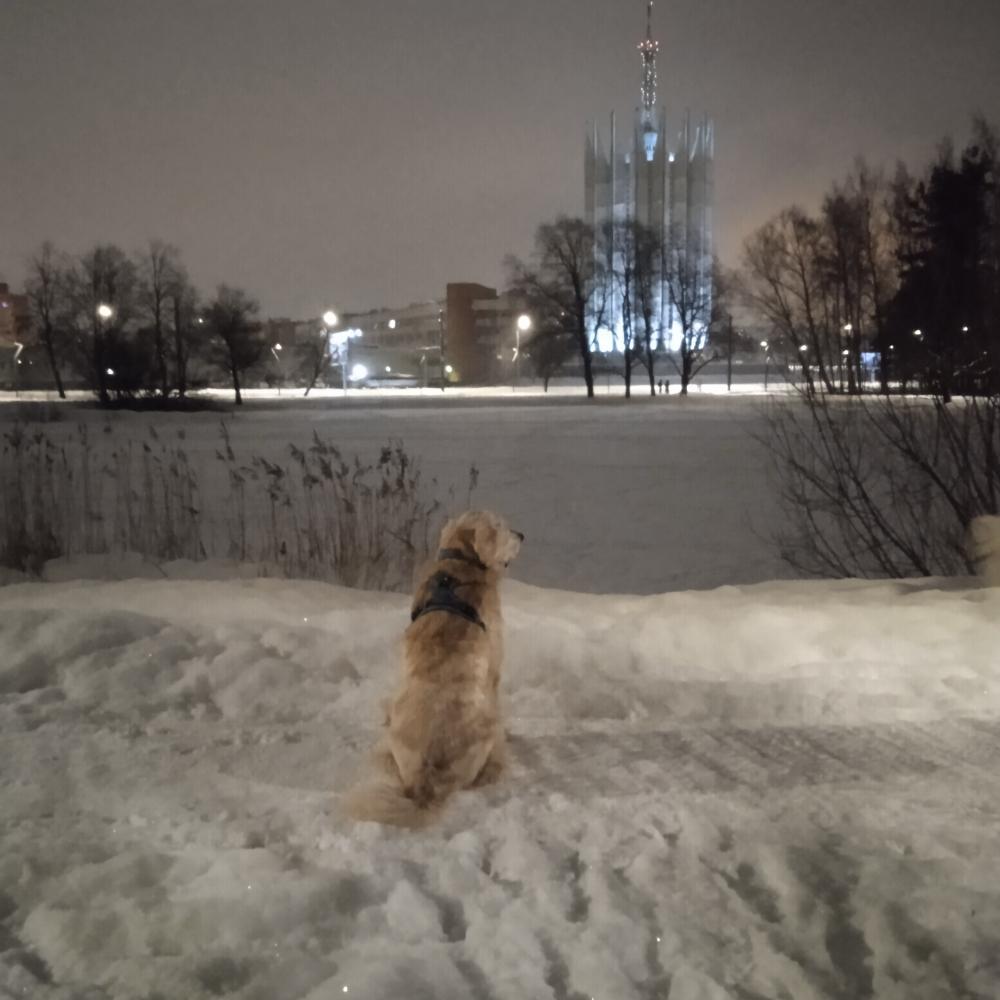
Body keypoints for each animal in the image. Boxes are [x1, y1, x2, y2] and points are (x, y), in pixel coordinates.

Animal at [344, 510, 523, 827]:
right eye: (501, 526)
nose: (522, 535)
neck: (459, 565)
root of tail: (425, 784)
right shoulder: (494, 670)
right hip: (487, 727)